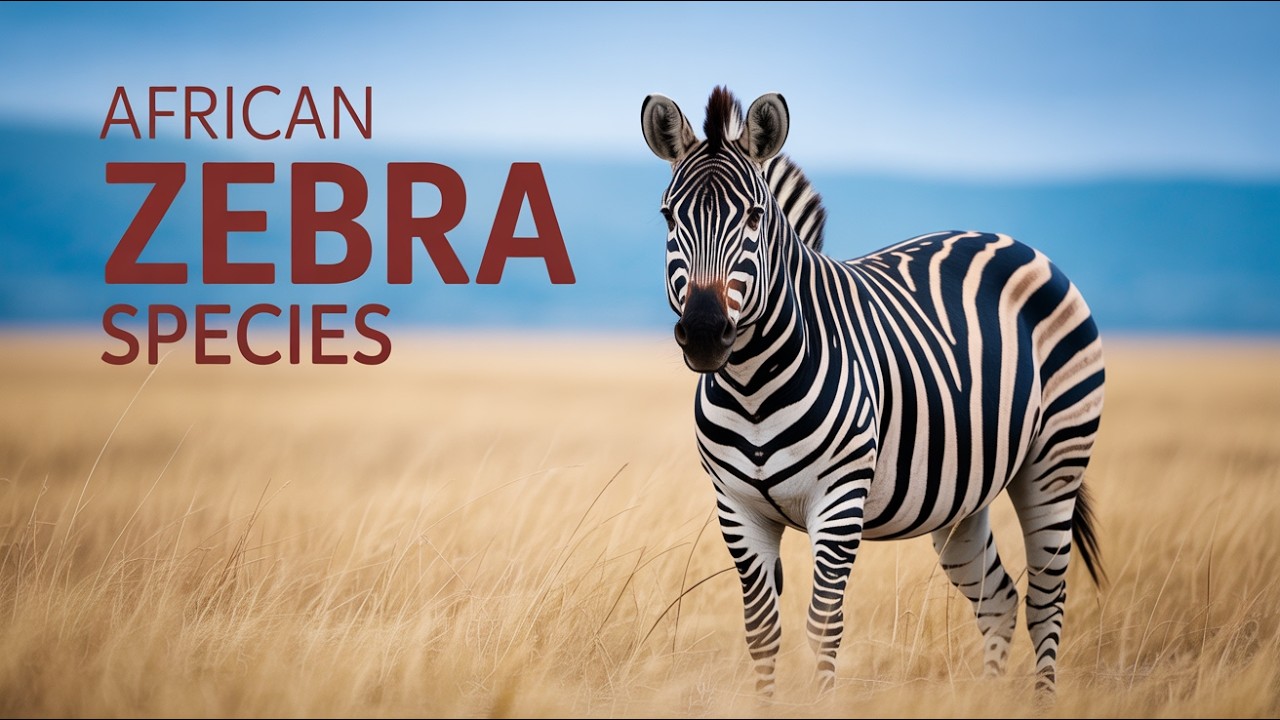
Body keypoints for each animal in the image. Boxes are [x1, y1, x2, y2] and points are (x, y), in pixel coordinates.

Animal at [640, 87, 1105, 697]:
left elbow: (823, 626)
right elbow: (761, 630)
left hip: (1054, 462)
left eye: (755, 216)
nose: (702, 331)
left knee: (1045, 604)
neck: (752, 385)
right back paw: (985, 700)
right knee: (998, 601)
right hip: (962, 496)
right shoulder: (736, 506)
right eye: (669, 216)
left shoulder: (838, 500)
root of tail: (1009, 240)